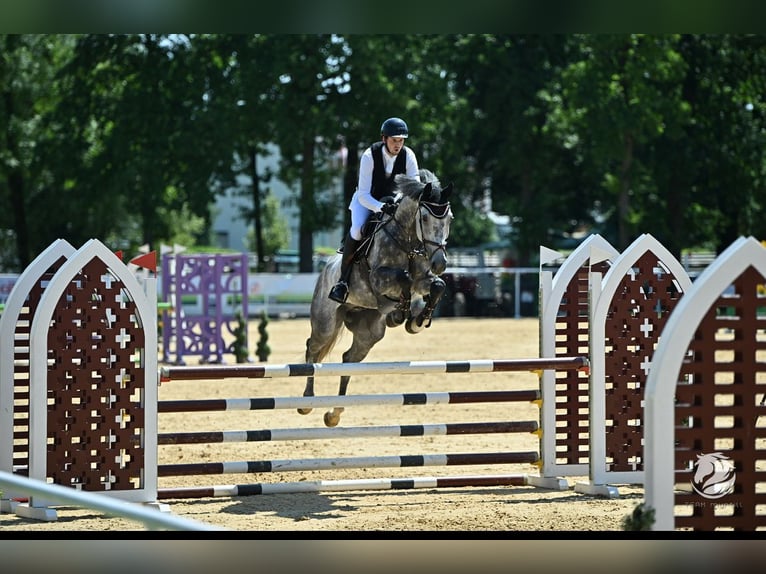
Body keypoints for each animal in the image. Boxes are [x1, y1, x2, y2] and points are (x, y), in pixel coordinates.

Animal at [300, 168, 456, 428]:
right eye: (424, 219)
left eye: (449, 219)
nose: (440, 263)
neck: (407, 241)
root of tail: (324, 270)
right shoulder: (378, 279)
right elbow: (403, 278)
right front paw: (401, 312)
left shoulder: (423, 279)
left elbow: (437, 285)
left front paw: (417, 320)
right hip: (325, 322)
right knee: (312, 348)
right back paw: (307, 401)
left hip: (369, 332)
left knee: (349, 359)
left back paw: (334, 413)